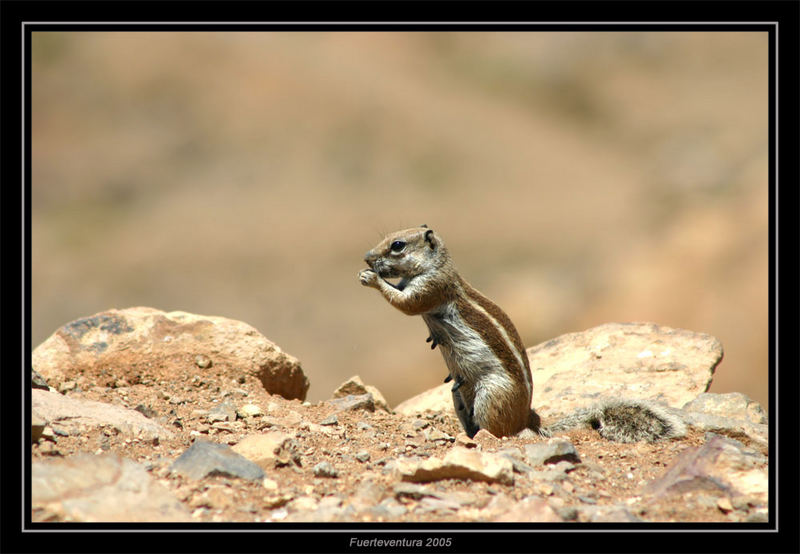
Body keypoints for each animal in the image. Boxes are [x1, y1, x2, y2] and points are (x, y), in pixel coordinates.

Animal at [360, 223, 684, 440]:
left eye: (398, 245)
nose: (366, 257)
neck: (440, 266)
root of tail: (526, 419)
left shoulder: (431, 289)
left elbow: (406, 303)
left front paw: (371, 278)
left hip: (491, 396)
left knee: (500, 432)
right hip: (459, 398)